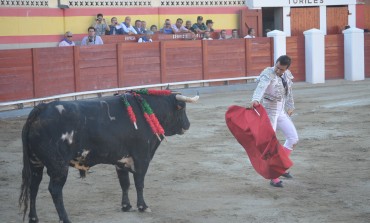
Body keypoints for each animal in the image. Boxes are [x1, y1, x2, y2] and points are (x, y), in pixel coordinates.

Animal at [18, 91, 199, 222]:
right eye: (182, 108)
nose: (188, 125)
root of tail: (40, 109)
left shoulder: (121, 160)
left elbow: (125, 183)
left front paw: (126, 206)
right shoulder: (142, 158)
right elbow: (139, 183)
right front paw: (143, 206)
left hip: (35, 163)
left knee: (33, 187)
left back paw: (33, 218)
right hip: (58, 167)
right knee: (55, 190)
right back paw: (65, 219)